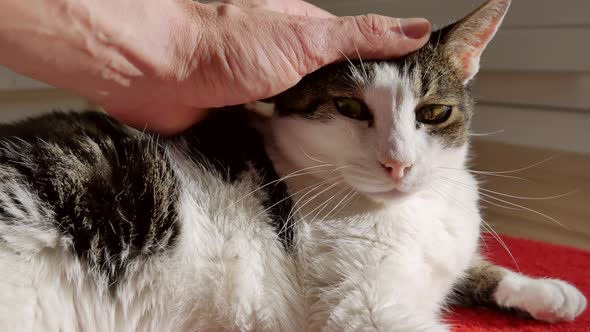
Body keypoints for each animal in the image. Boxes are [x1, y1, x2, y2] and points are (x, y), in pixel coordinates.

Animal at [0, 0, 588, 330]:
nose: (398, 163)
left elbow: (472, 265)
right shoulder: (362, 306)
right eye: (350, 108)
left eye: (434, 113)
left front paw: (546, 290)